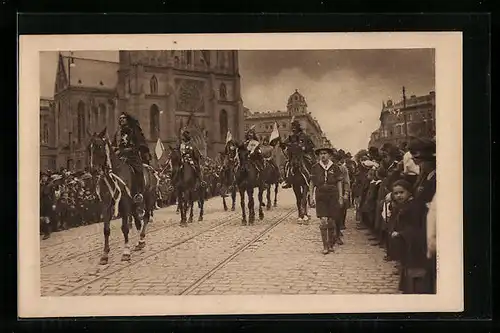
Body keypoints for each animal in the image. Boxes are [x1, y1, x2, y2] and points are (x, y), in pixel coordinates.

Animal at [86, 127, 156, 264]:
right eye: (88, 148)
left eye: (99, 146)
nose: (93, 170)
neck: (112, 174)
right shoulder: (106, 204)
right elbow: (106, 230)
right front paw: (104, 255)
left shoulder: (124, 202)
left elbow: (125, 227)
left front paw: (126, 252)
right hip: (134, 204)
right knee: (138, 221)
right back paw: (138, 243)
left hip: (147, 198)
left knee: (145, 217)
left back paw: (141, 239)